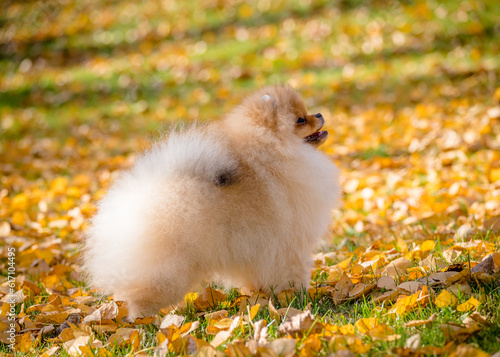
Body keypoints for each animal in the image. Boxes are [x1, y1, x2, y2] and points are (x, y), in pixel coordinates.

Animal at [83, 86, 340, 318]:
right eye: (300, 120)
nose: (319, 114)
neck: (275, 156)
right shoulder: (290, 245)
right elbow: (294, 274)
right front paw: (298, 298)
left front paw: (262, 297)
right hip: (168, 269)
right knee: (143, 296)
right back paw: (147, 323)